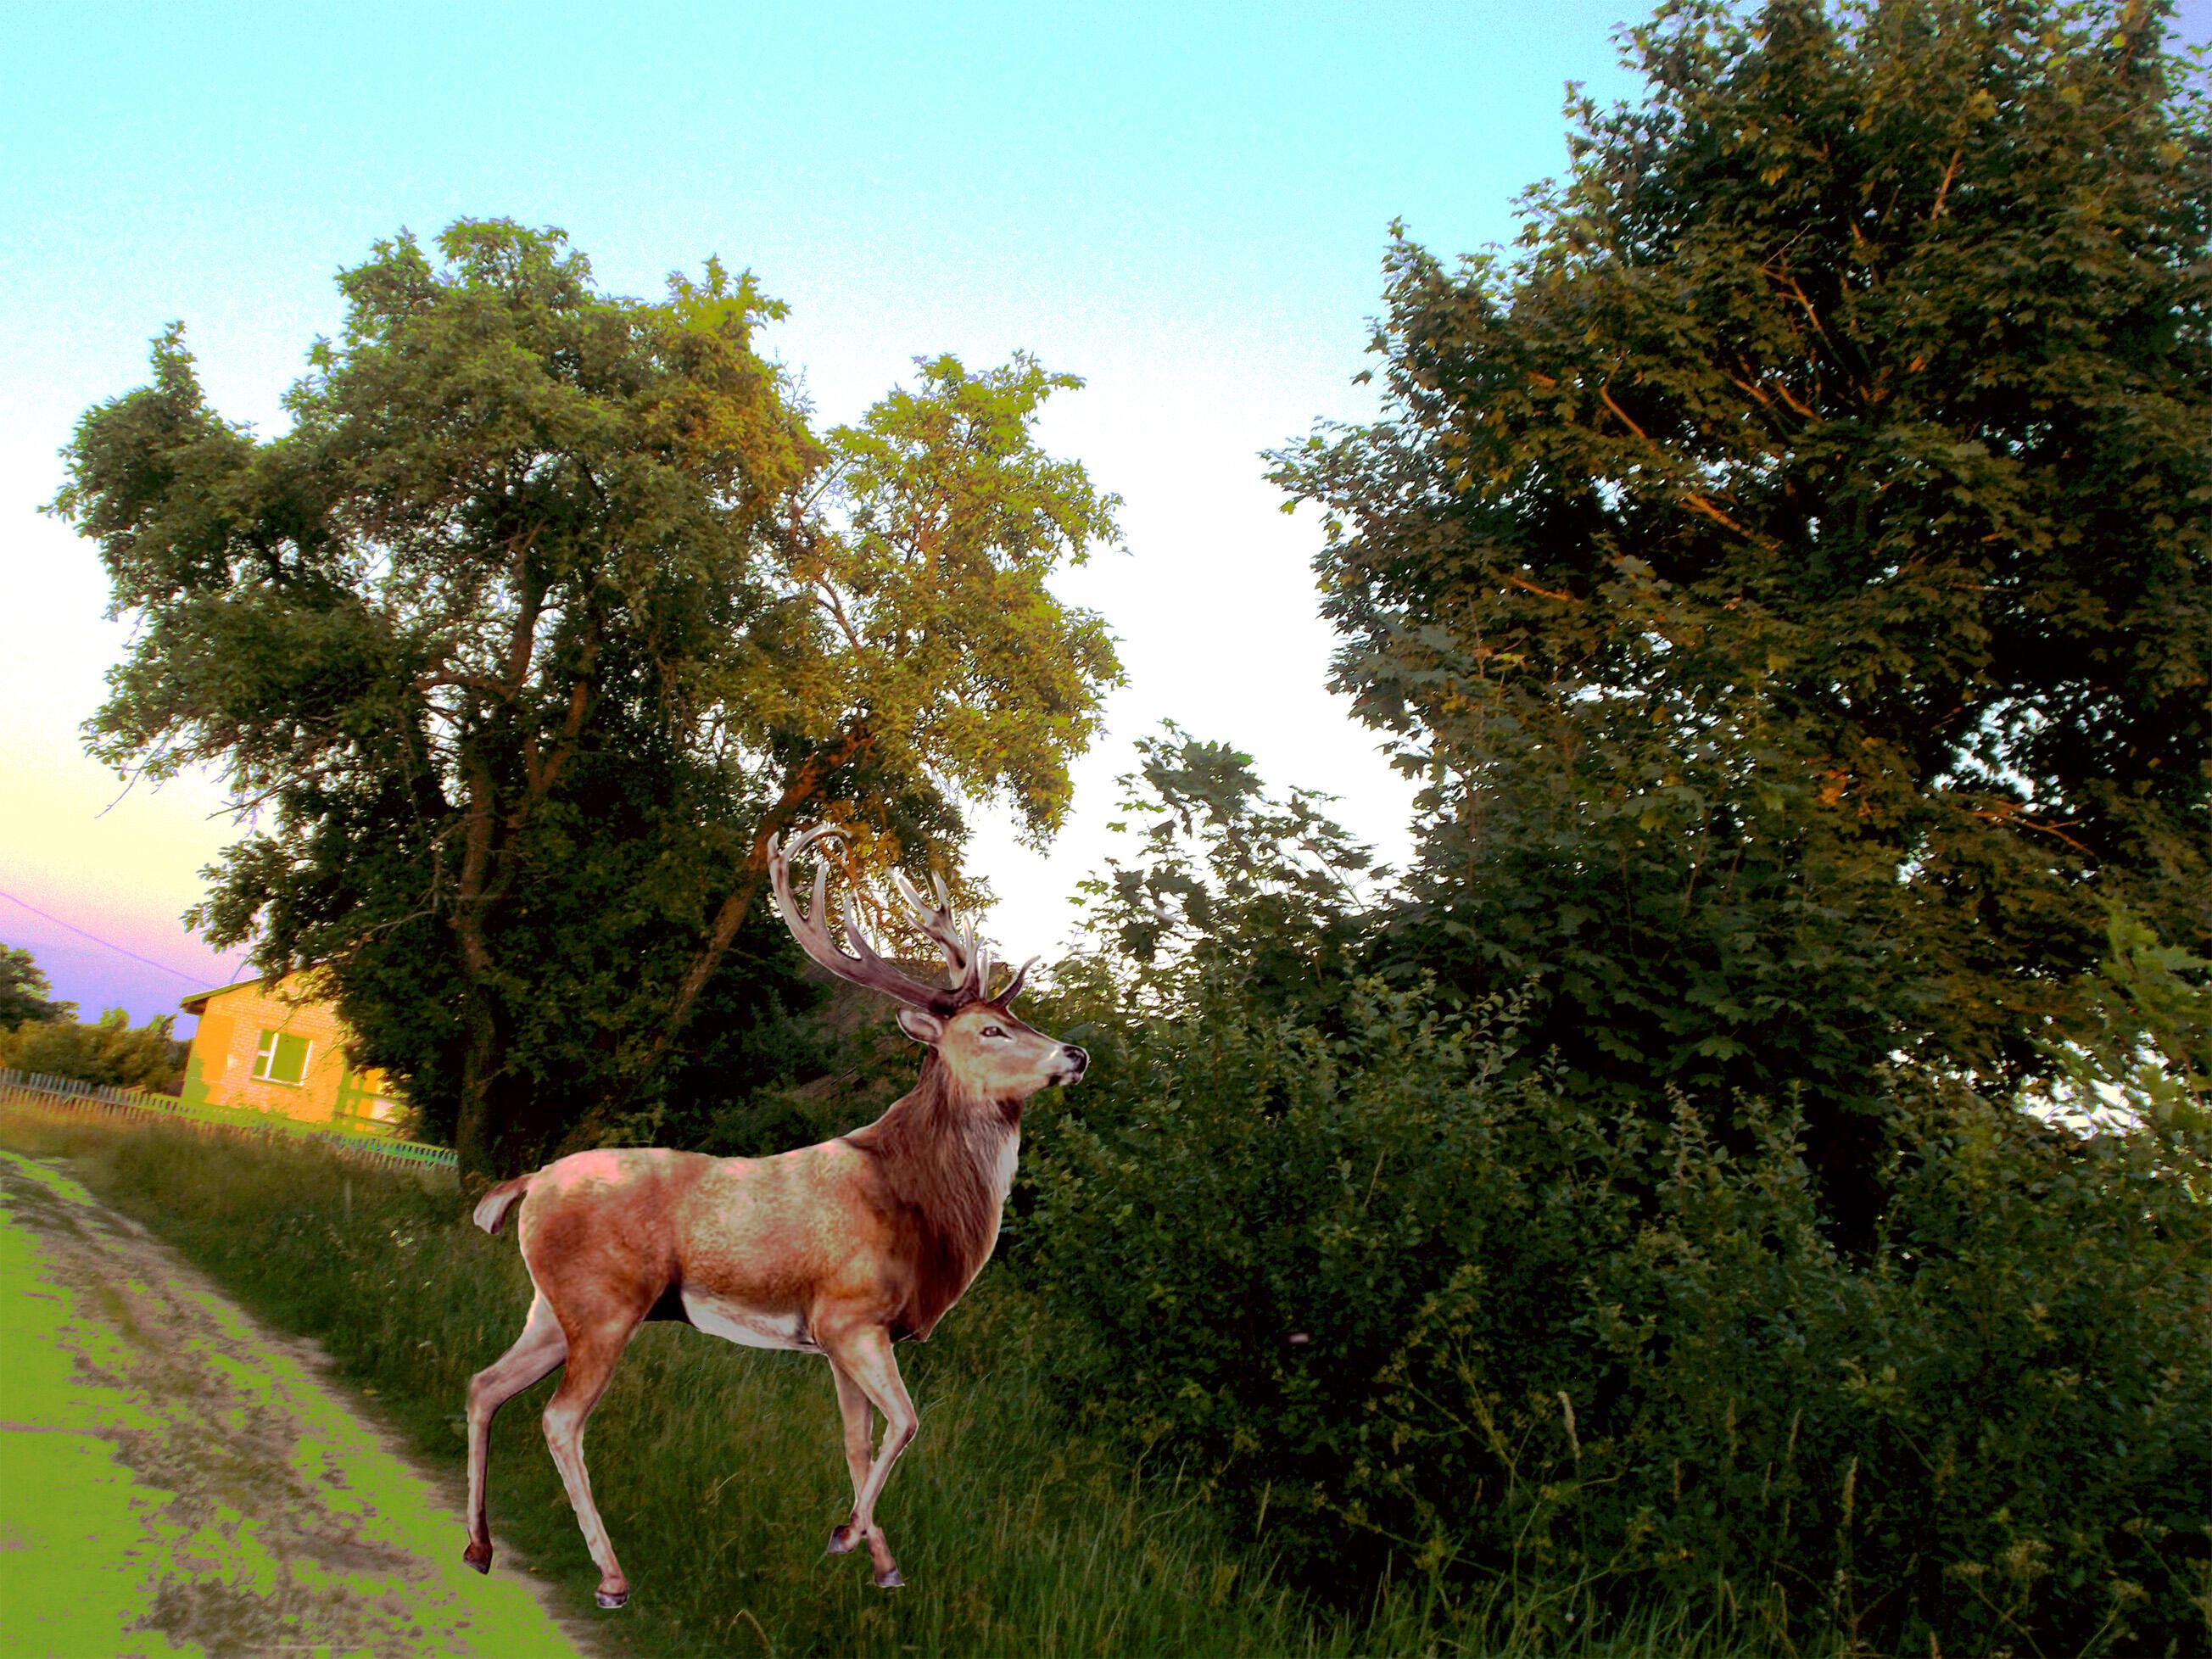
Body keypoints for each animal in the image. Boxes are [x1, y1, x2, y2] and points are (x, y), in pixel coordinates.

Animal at [455, 831, 1088, 1610]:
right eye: (993, 1028)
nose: (1075, 1053)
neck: (918, 1207)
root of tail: (531, 1183)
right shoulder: (849, 1314)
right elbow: (906, 1424)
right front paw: (846, 1537)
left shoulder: (846, 1338)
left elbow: (859, 1442)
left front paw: (880, 1562)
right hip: (605, 1302)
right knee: (559, 1417)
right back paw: (611, 1577)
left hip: (552, 1307)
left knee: (485, 1384)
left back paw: (479, 1548)